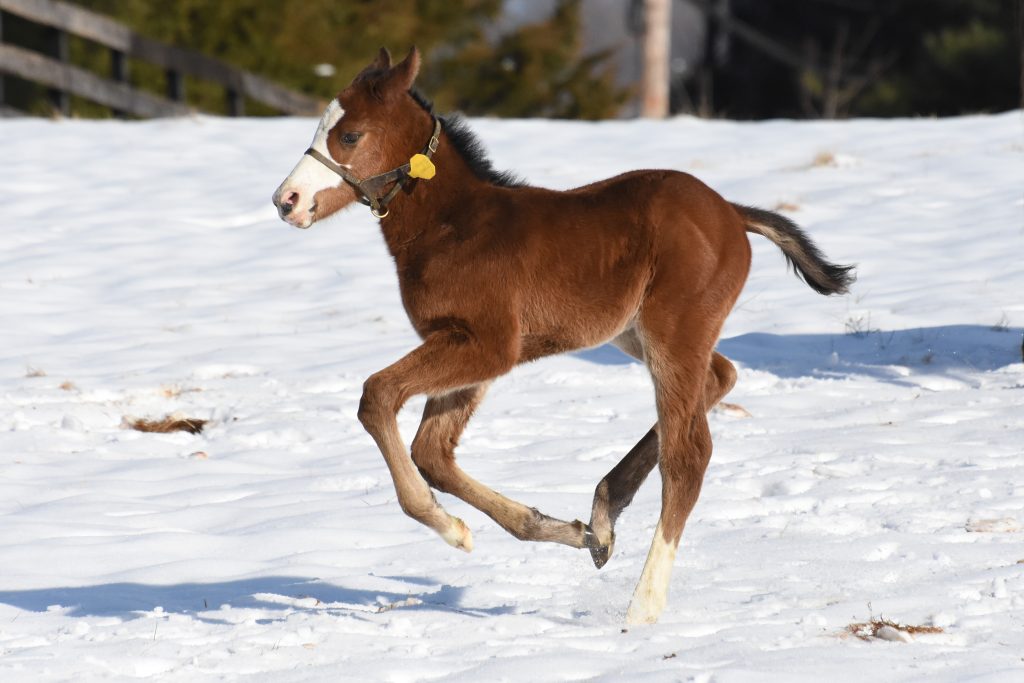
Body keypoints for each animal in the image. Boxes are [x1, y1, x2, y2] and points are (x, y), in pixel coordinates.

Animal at [272, 48, 856, 626]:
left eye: (350, 135)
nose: (287, 200)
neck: (453, 226)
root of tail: (732, 213)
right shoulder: (467, 348)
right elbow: (432, 453)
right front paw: (565, 532)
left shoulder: (489, 344)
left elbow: (377, 397)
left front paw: (451, 530)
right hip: (635, 333)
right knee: (721, 376)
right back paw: (604, 513)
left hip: (673, 332)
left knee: (689, 455)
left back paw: (642, 606)